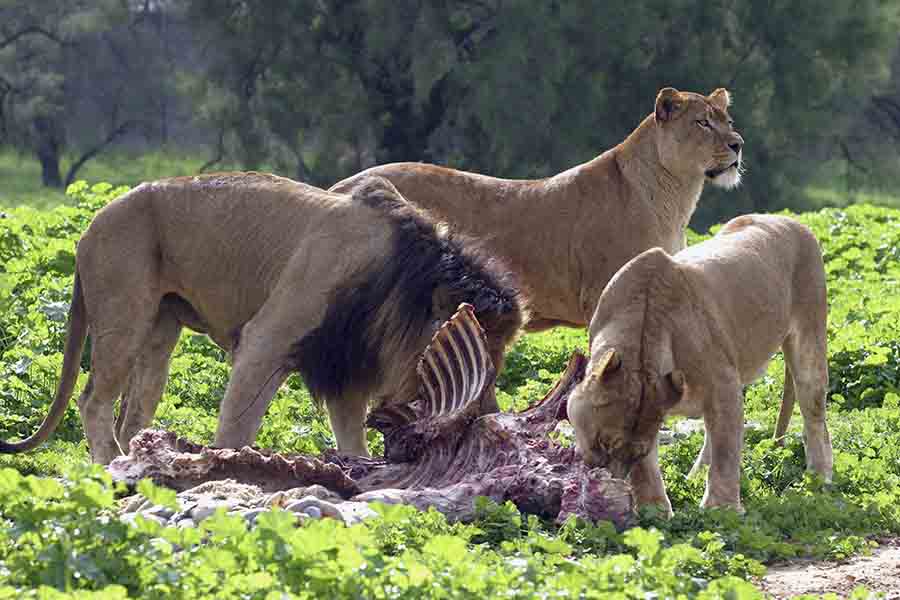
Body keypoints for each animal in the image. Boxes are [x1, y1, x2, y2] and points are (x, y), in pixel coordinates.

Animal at [0, 173, 523, 464]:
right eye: (468, 360)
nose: (486, 420)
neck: (397, 280)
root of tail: (88, 227)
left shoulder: (344, 365)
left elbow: (352, 441)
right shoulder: (267, 339)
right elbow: (237, 426)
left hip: (161, 330)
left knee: (135, 414)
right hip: (122, 312)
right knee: (93, 400)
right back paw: (108, 466)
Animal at [331, 87, 744, 333]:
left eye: (728, 121)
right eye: (703, 123)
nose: (738, 144)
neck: (675, 196)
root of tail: (339, 184)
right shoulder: (602, 295)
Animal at [566, 214, 833, 514]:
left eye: (633, 451)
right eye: (602, 442)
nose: (606, 482)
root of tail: (789, 219)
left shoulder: (724, 385)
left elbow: (726, 452)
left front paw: (721, 509)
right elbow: (650, 469)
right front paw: (653, 510)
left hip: (809, 339)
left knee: (814, 414)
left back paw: (819, 479)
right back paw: (694, 476)